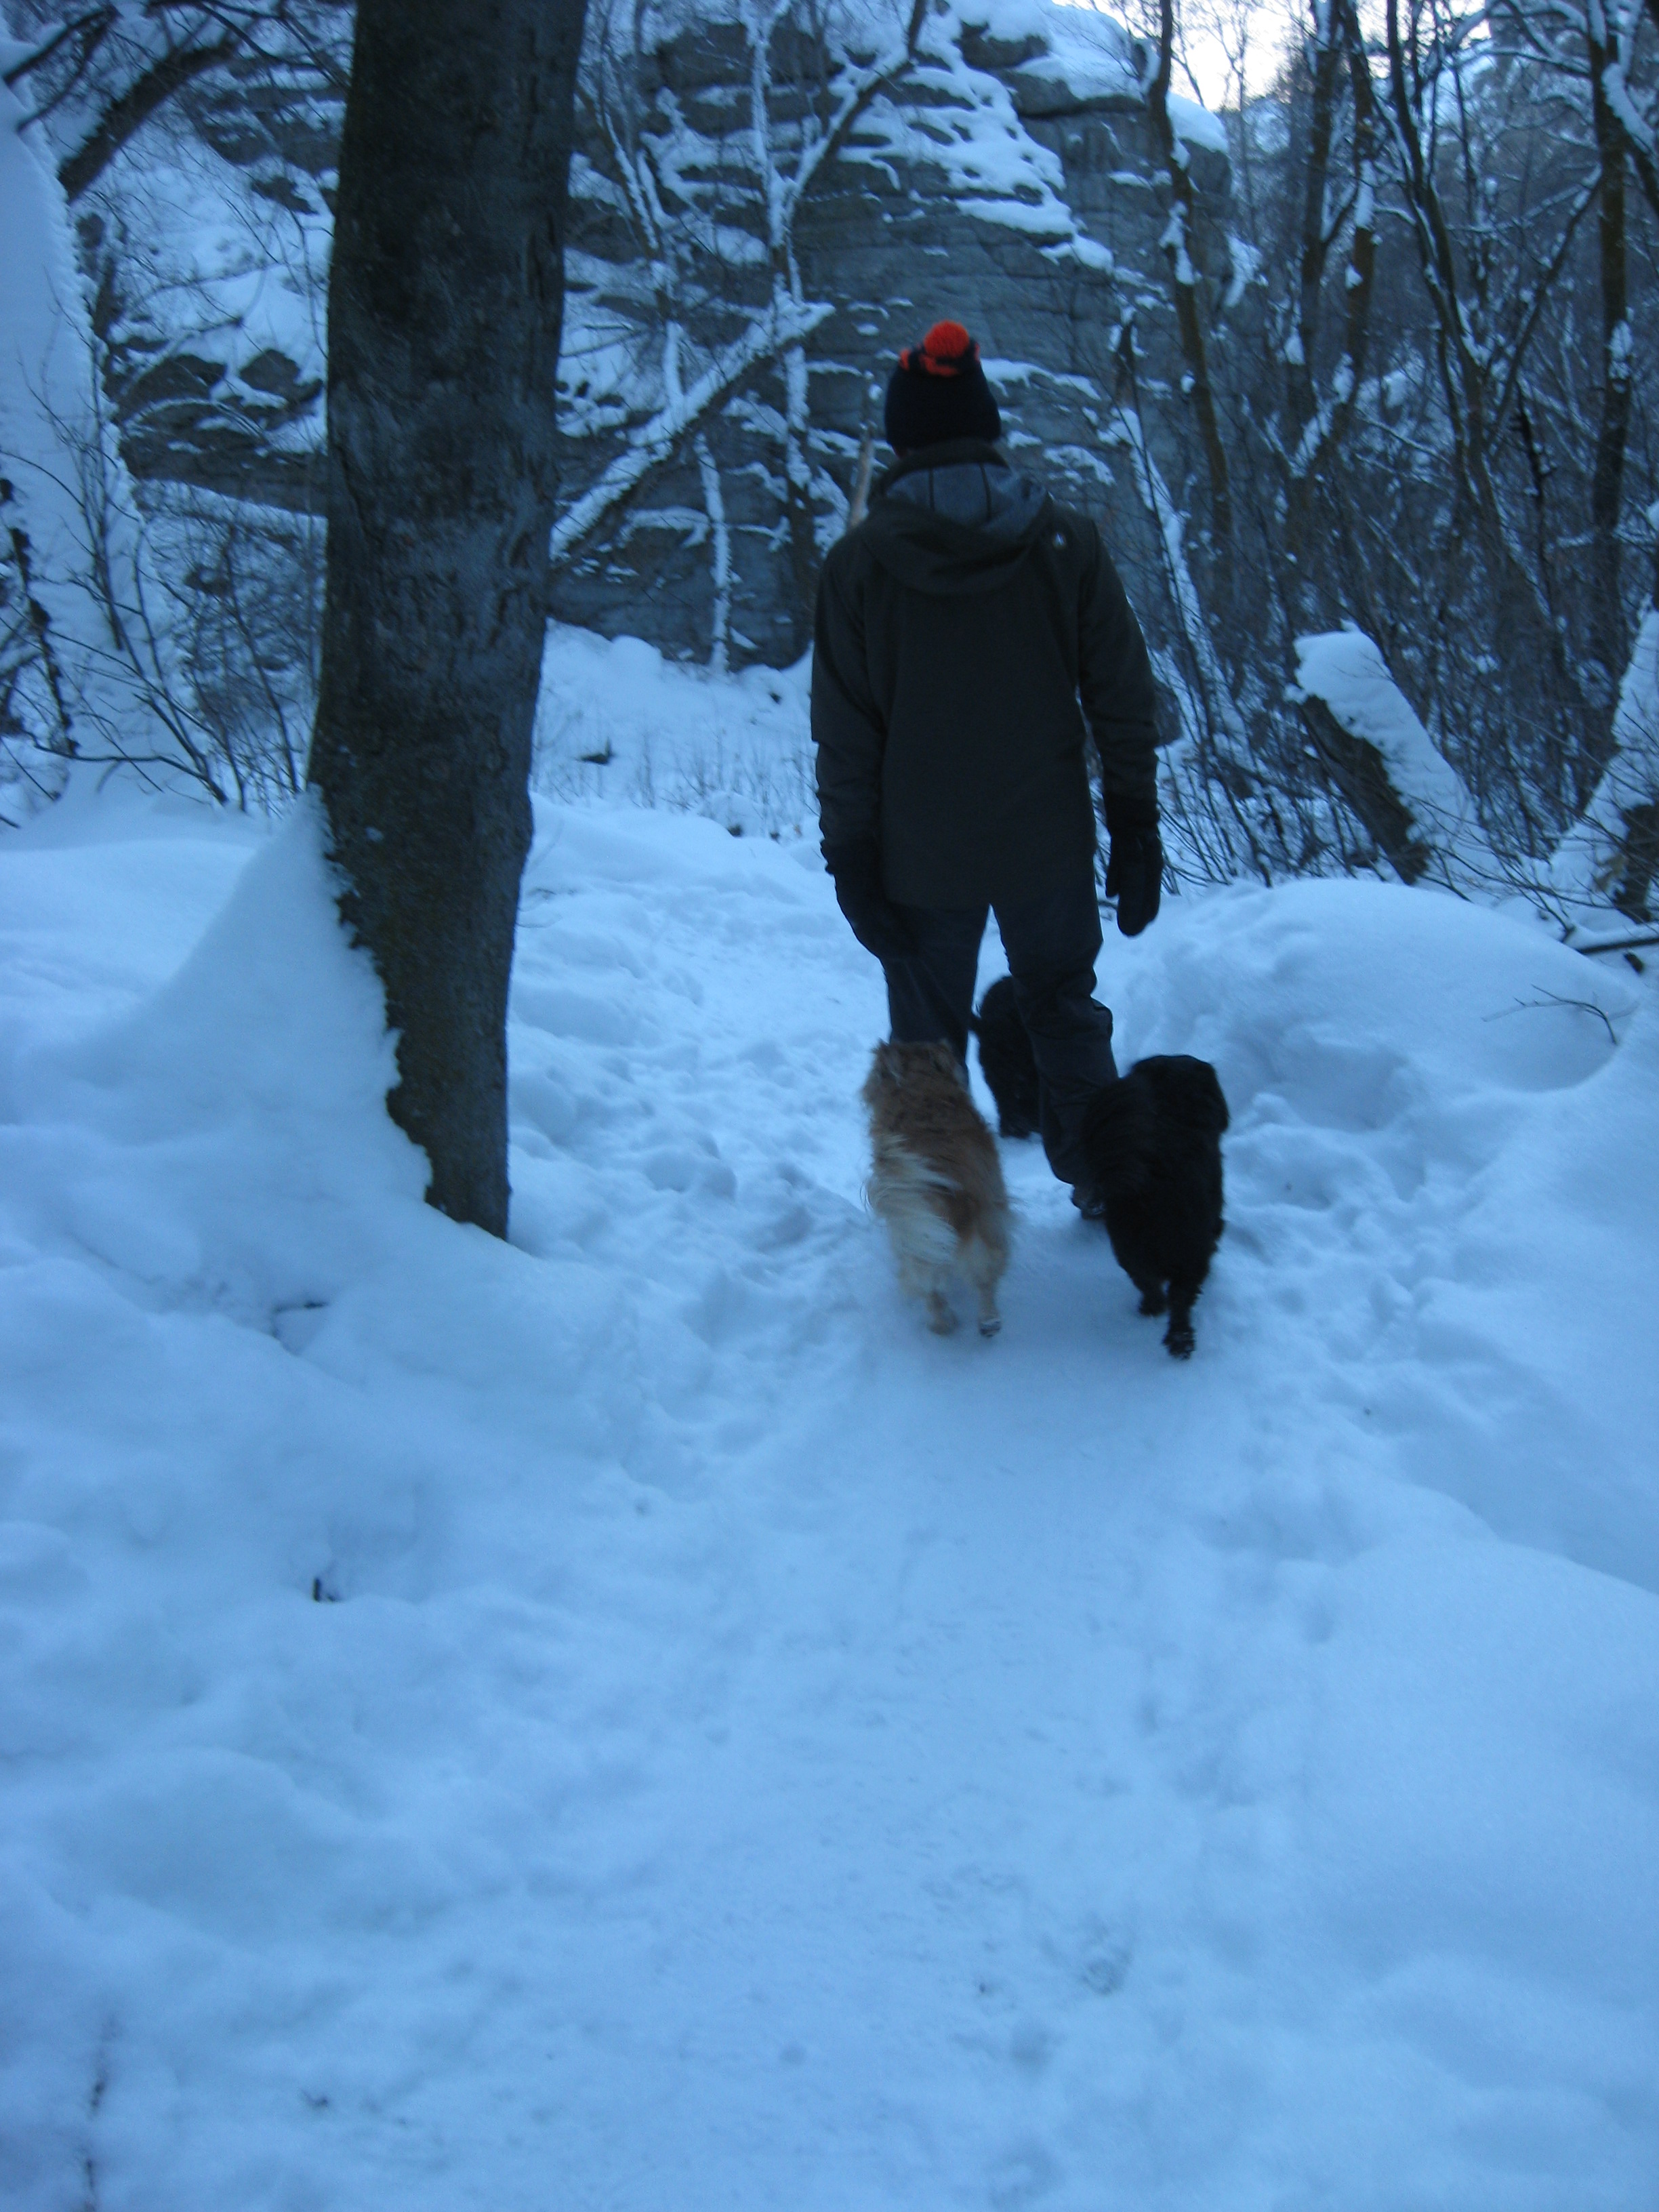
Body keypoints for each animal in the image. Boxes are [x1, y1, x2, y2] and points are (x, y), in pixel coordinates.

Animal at [862, 1041, 1012, 1337]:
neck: (922, 1090)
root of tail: (953, 1194)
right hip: (985, 1221)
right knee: (984, 1277)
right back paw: (988, 1322)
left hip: (913, 1234)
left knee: (931, 1289)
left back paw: (942, 1324)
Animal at [1078, 1055, 1228, 1359]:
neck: (1174, 1109)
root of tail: (1150, 1189)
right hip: (1190, 1253)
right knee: (1180, 1298)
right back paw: (1181, 1341)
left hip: (1129, 1248)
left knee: (1147, 1284)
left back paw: (1151, 1309)